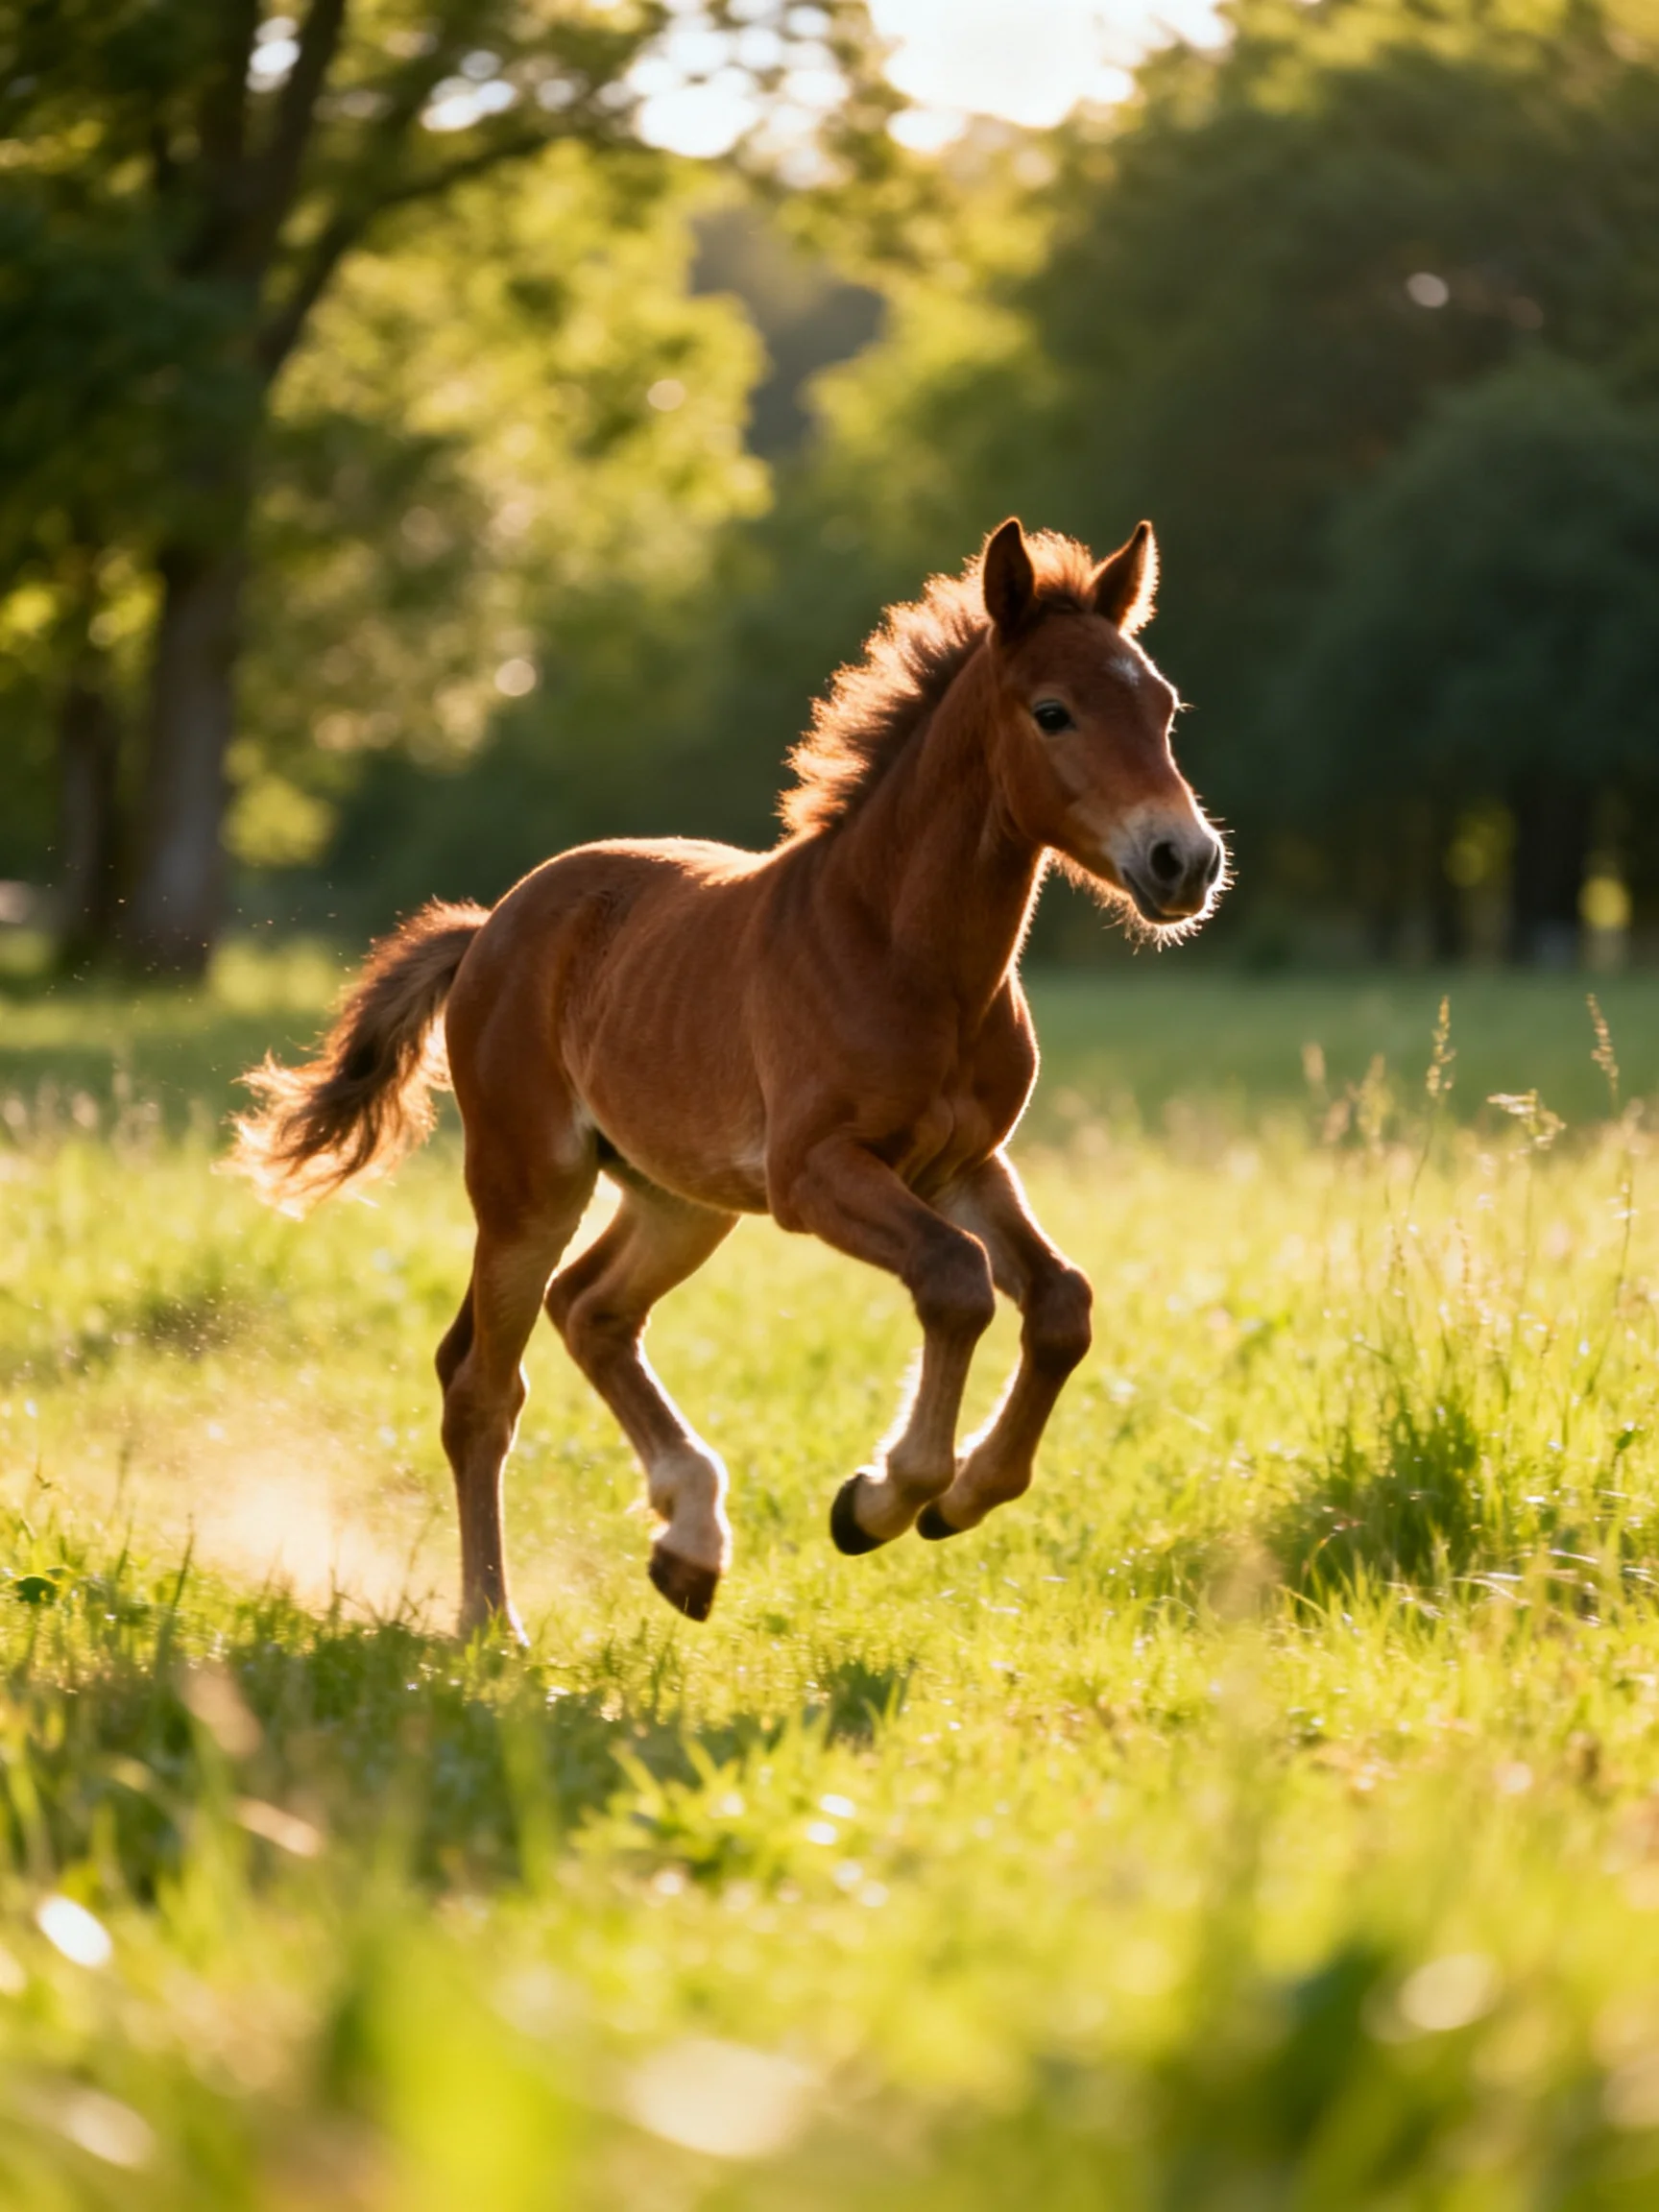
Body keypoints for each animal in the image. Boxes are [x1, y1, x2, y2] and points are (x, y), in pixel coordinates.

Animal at [232, 518, 1227, 1637]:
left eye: (1164, 707)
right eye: (1053, 712)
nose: (1184, 861)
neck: (903, 953)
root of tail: (488, 927)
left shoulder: (965, 1165)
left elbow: (1061, 1304)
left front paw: (960, 1495)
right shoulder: (814, 1173)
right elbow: (957, 1281)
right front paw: (883, 1500)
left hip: (680, 1199)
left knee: (591, 1311)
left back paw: (689, 1545)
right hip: (531, 1184)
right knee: (483, 1384)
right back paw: (493, 1620)